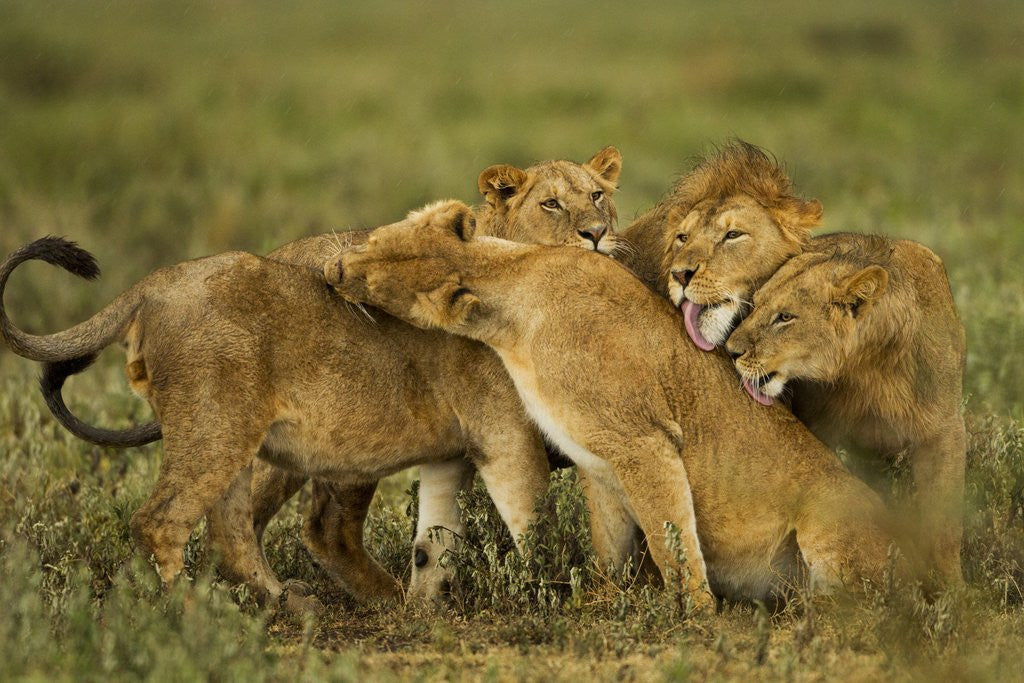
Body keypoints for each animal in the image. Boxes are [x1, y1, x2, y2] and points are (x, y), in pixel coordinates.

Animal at [25, 148, 624, 604]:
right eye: (550, 204)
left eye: (598, 197)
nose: (595, 234)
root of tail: (152, 285)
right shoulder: (505, 432)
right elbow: (535, 523)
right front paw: (556, 589)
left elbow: (439, 533)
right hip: (253, 430)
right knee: (204, 523)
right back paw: (197, 614)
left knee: (235, 525)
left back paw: (287, 601)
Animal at [324, 200, 902, 608]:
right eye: (374, 242)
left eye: (376, 276)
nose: (334, 272)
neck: (513, 298)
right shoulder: (598, 460)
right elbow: (611, 544)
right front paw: (603, 600)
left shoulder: (645, 444)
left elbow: (673, 541)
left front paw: (696, 616)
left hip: (827, 518)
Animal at [725, 234, 967, 582]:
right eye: (755, 305)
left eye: (785, 317)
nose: (731, 350)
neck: (871, 367)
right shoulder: (818, 426)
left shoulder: (944, 432)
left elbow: (945, 525)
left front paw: (952, 588)